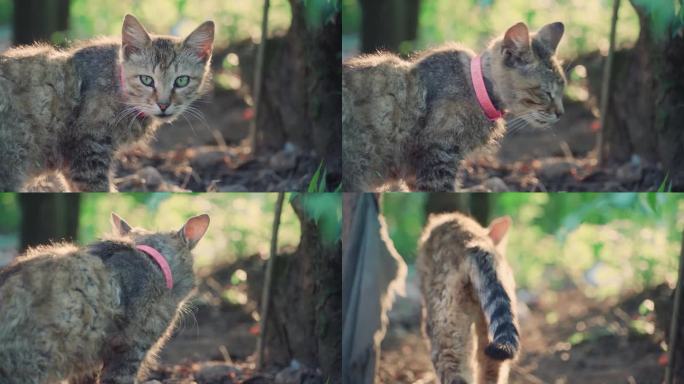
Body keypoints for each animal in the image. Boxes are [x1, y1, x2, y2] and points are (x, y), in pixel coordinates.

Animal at [342, 21, 568, 191]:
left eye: (562, 89)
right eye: (546, 93)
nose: (561, 113)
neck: (477, 90)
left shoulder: (420, 170)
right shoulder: (438, 156)